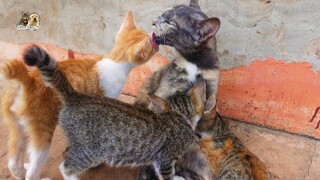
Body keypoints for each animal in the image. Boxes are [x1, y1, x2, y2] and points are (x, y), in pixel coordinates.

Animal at [0, 11, 158, 180]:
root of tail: (28, 79)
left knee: (14, 156)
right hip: (42, 128)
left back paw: (20, 170)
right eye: (152, 44)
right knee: (34, 167)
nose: (158, 42)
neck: (116, 61)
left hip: (18, 125)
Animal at [21, 45, 214, 180]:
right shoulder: (165, 158)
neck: (178, 116)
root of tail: (76, 96)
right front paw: (176, 177)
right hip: (90, 151)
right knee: (65, 166)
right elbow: (167, 174)